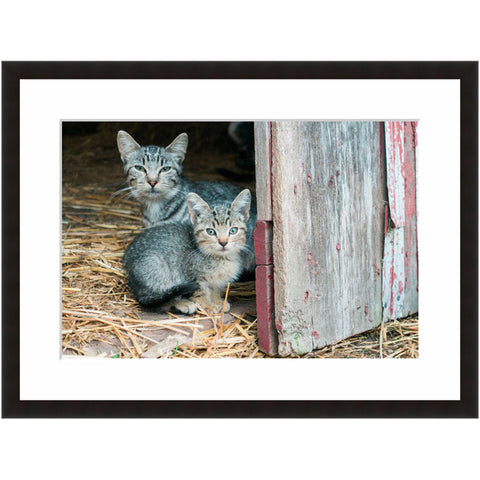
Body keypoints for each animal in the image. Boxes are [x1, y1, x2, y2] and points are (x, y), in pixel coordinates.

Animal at [123, 188, 251, 316]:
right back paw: (182, 304)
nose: (223, 242)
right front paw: (207, 306)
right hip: (157, 266)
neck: (220, 258)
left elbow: (215, 288)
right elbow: (200, 291)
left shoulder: (216, 281)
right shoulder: (191, 274)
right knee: (153, 301)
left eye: (233, 230)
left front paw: (218, 302)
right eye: (210, 231)